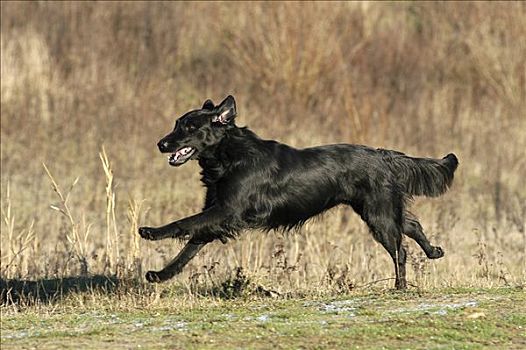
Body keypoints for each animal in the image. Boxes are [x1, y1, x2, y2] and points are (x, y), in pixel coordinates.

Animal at [139, 95, 458, 290]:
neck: (229, 155)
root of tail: (384, 155)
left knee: (400, 248)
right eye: (176, 124)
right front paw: (160, 275)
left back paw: (399, 287)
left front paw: (151, 232)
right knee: (412, 225)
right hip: (380, 209)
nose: (160, 144)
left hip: (378, 214)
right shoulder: (217, 214)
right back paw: (434, 252)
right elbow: (189, 247)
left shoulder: (227, 211)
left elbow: (184, 224)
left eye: (190, 127)